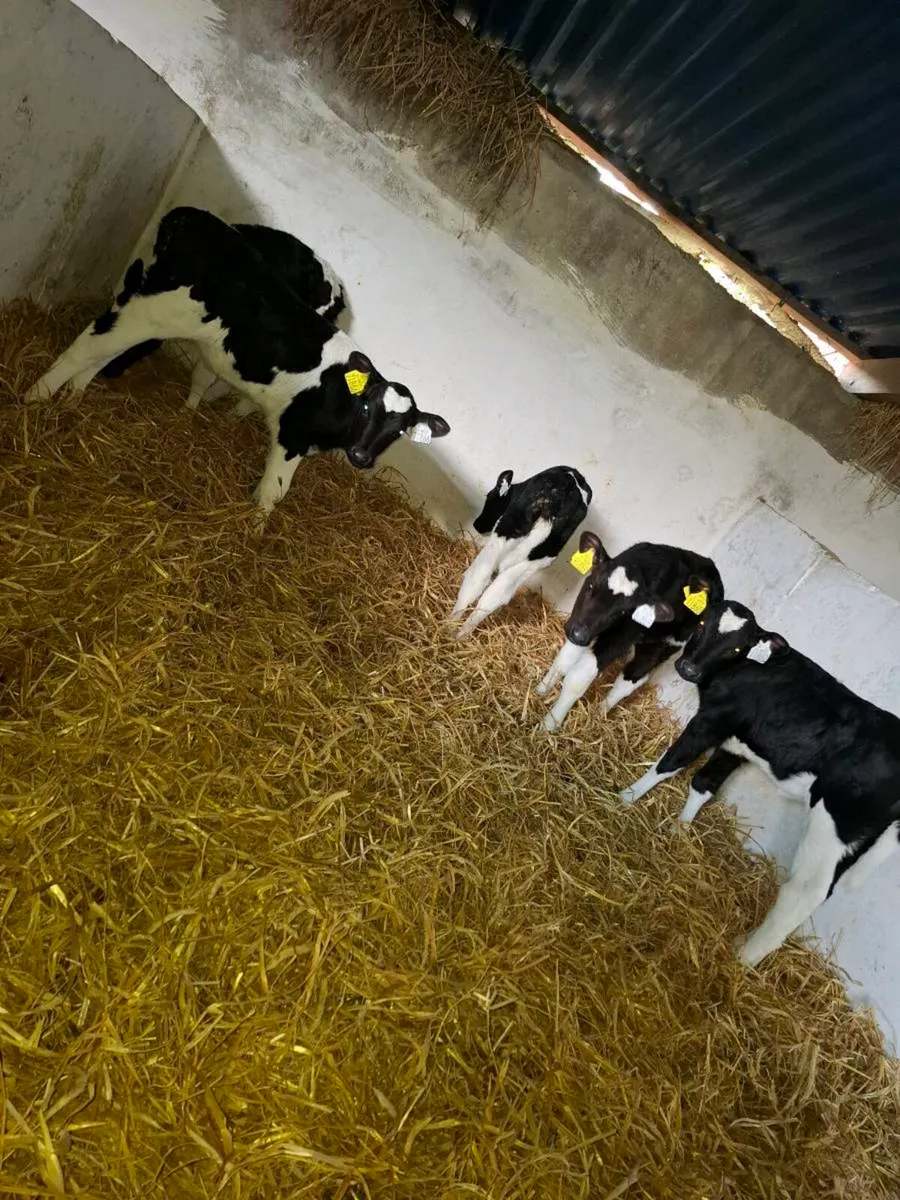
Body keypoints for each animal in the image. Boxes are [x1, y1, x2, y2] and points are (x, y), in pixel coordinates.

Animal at [450, 466, 592, 639]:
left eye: (489, 497)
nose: (477, 525)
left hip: (504, 533)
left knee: (476, 579)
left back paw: (450, 626)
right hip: (535, 560)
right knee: (493, 596)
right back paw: (461, 635)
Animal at [537, 534, 724, 732]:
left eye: (622, 611)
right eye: (591, 585)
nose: (578, 634)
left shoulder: (618, 638)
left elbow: (577, 678)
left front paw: (550, 724)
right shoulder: (585, 626)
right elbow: (563, 660)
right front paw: (540, 690)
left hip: (664, 647)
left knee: (633, 678)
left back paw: (601, 711)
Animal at [618, 599, 900, 967]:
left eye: (737, 648)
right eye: (703, 624)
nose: (689, 669)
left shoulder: (711, 720)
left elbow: (672, 761)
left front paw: (624, 798)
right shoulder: (735, 742)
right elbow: (704, 783)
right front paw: (680, 829)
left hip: (835, 823)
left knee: (806, 891)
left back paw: (744, 956)